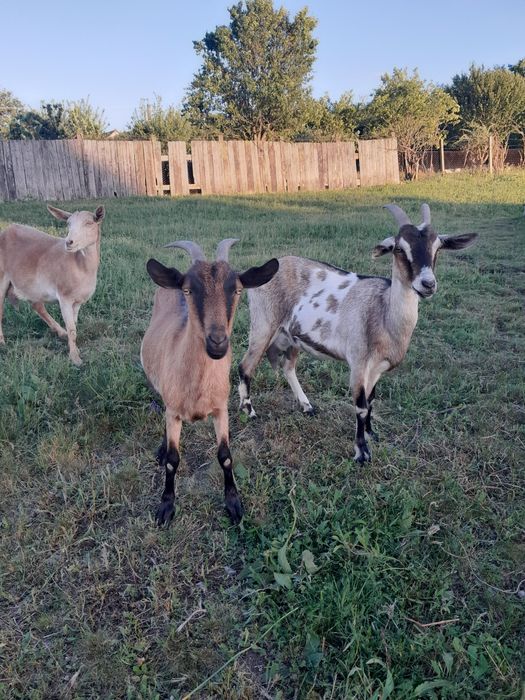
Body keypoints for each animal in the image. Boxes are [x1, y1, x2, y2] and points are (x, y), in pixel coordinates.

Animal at [0, 205, 105, 366]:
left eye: (89, 223)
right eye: (68, 224)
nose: (69, 242)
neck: (81, 265)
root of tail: (6, 230)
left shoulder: (77, 302)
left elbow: (74, 326)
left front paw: (74, 348)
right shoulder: (64, 297)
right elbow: (72, 329)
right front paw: (75, 358)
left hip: (32, 286)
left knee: (37, 306)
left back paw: (60, 332)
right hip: (2, 276)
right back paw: (2, 342)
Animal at [141, 239, 279, 525]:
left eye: (237, 290)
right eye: (188, 289)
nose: (218, 342)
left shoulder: (221, 409)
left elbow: (225, 456)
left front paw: (234, 505)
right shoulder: (173, 411)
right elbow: (172, 460)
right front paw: (166, 507)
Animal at [238, 203, 477, 463]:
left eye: (438, 247)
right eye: (399, 249)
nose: (427, 284)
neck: (383, 313)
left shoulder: (377, 368)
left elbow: (371, 401)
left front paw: (372, 434)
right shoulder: (359, 363)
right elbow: (361, 406)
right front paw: (362, 453)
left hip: (293, 338)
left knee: (287, 367)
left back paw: (306, 406)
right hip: (263, 324)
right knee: (245, 366)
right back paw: (249, 410)